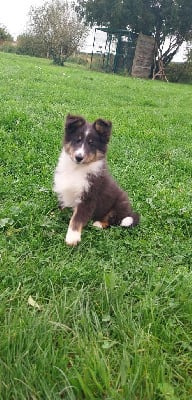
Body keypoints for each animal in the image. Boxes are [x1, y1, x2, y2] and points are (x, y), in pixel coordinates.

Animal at [53, 113, 139, 247]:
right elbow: (63, 206)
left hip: (118, 205)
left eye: (91, 144)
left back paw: (98, 224)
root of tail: (128, 211)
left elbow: (76, 219)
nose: (79, 157)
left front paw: (72, 238)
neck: (77, 169)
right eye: (77, 140)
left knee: (114, 221)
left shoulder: (88, 198)